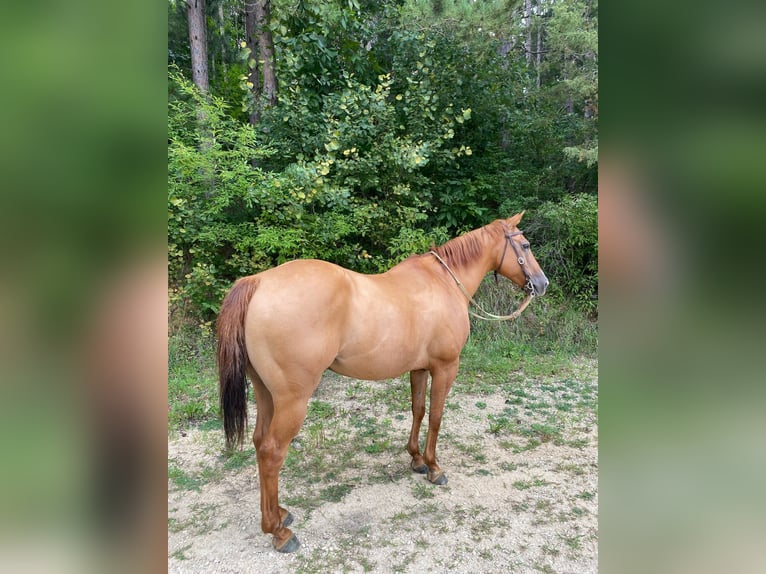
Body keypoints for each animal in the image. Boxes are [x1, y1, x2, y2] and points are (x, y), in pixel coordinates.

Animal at [218, 214, 552, 556]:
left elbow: (418, 410)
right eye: (525, 245)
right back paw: (279, 532)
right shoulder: (445, 368)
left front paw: (416, 460)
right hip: (292, 400)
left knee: (259, 443)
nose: (542, 284)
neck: (444, 282)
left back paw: (280, 514)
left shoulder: (419, 368)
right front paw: (434, 468)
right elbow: (436, 417)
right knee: (272, 452)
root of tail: (258, 283)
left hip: (266, 394)